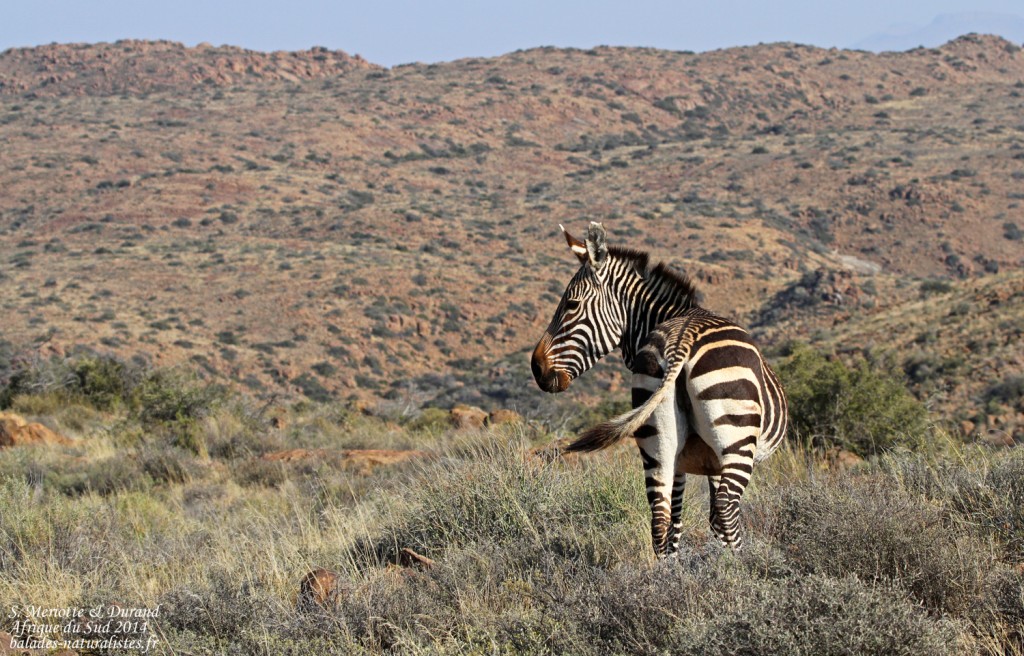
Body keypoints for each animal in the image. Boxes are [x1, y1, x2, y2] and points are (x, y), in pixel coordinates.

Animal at [531, 222, 787, 554]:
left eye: (571, 305)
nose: (536, 368)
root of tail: (682, 340)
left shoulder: (683, 460)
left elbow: (678, 521)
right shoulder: (714, 462)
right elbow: (714, 519)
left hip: (657, 434)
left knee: (660, 516)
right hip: (735, 438)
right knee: (726, 508)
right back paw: (737, 565)